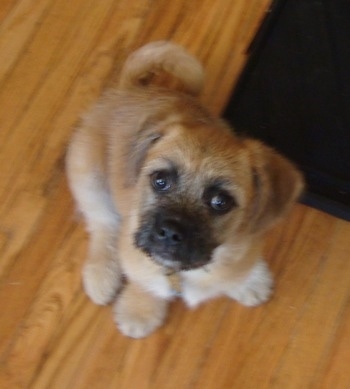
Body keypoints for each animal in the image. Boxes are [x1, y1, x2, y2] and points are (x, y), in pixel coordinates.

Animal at [65, 41, 304, 336]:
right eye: (160, 180)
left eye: (220, 201)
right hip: (90, 179)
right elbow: (146, 283)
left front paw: (248, 279)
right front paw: (140, 309)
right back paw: (101, 275)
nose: (169, 232)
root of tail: (127, 89)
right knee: (103, 226)